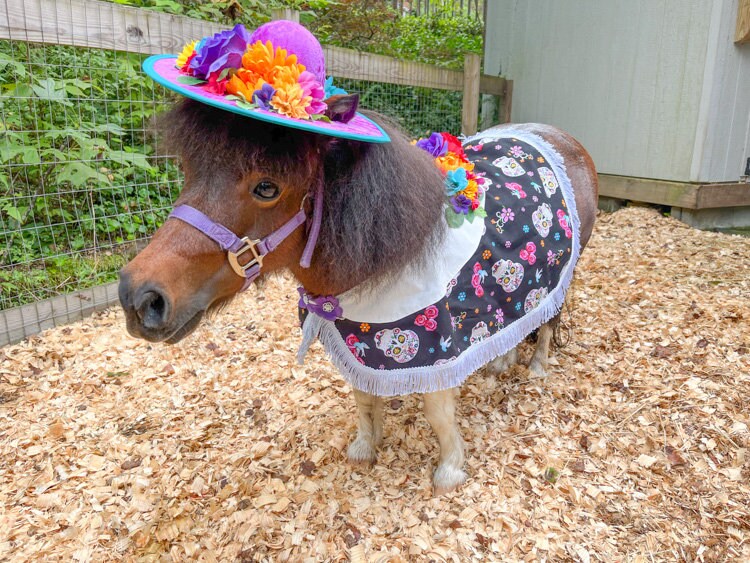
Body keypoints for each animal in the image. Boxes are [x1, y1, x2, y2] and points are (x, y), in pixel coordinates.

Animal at [119, 95, 598, 494]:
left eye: (267, 187)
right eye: (190, 170)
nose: (138, 298)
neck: (386, 258)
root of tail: (560, 138)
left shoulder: (436, 351)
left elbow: (438, 413)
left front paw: (450, 471)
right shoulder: (357, 342)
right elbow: (365, 399)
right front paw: (365, 448)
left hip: (564, 275)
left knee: (549, 322)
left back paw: (536, 368)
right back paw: (502, 360)